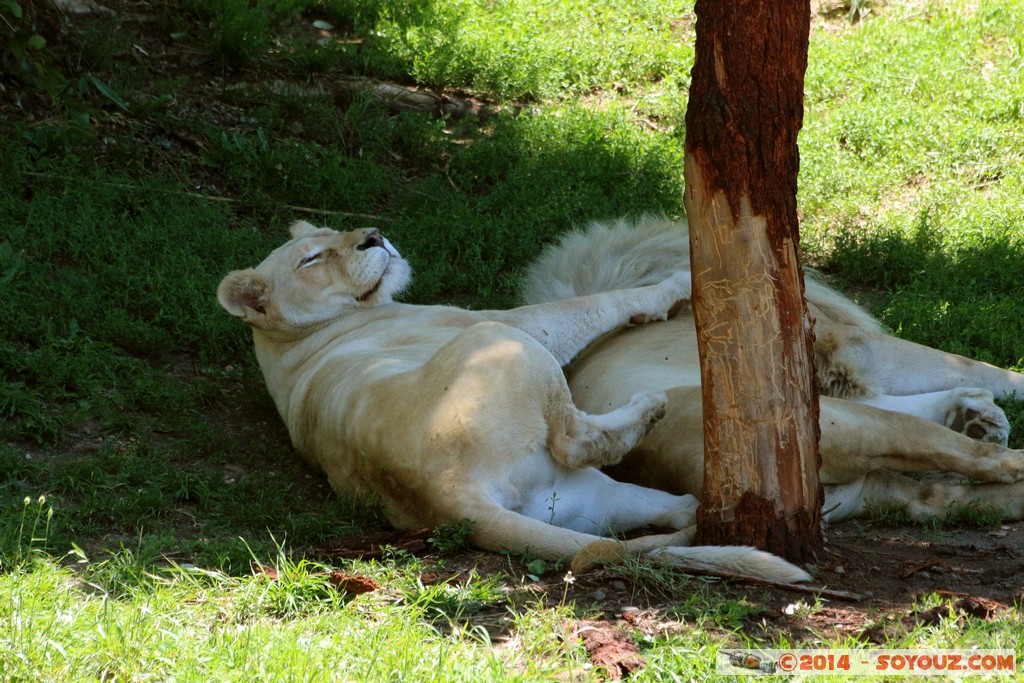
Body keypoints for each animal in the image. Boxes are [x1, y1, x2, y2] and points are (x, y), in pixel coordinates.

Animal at [216, 222, 806, 585]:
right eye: (314, 258)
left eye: (328, 237)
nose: (374, 236)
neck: (285, 346)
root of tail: (448, 499)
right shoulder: (512, 319)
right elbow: (597, 303)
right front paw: (677, 281)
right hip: (499, 341)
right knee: (577, 438)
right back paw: (649, 408)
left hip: (583, 499)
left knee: (633, 512)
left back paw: (692, 506)